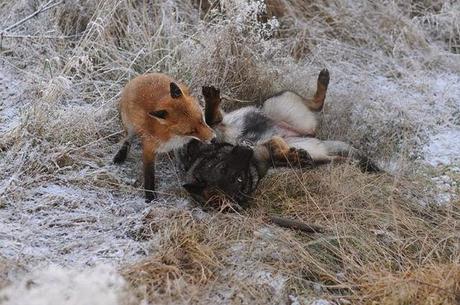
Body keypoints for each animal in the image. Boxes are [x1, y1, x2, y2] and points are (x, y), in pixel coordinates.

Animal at [114, 73, 217, 201]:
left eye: (201, 120)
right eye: (191, 131)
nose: (214, 139)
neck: (173, 136)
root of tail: (141, 76)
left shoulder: (179, 144)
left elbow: (180, 154)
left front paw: (184, 167)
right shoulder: (149, 148)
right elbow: (149, 174)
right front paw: (150, 196)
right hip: (130, 125)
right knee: (128, 139)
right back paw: (121, 155)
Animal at [178, 69, 380, 205]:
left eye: (223, 166)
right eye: (239, 180)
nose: (246, 150)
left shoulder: (216, 127)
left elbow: (211, 117)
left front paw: (211, 101)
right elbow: (277, 149)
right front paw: (291, 154)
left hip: (277, 103)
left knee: (314, 104)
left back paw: (323, 79)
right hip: (309, 141)